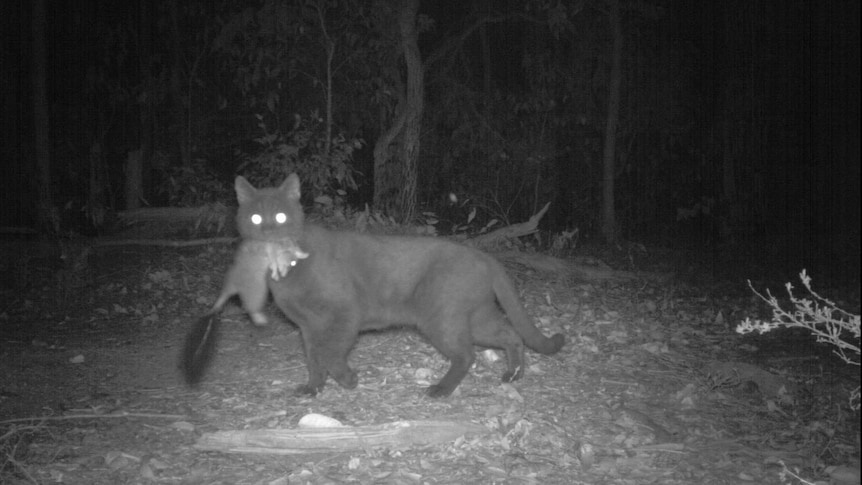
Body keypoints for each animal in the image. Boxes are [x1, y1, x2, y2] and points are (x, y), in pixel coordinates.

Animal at [181, 174, 568, 398]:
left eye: (280, 215)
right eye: (255, 216)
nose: (267, 230)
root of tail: (484, 255)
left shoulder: (342, 315)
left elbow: (329, 353)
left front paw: (348, 380)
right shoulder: (307, 326)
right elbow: (313, 357)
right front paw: (313, 388)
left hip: (442, 318)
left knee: (467, 354)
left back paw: (440, 390)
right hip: (476, 316)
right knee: (510, 335)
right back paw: (513, 375)